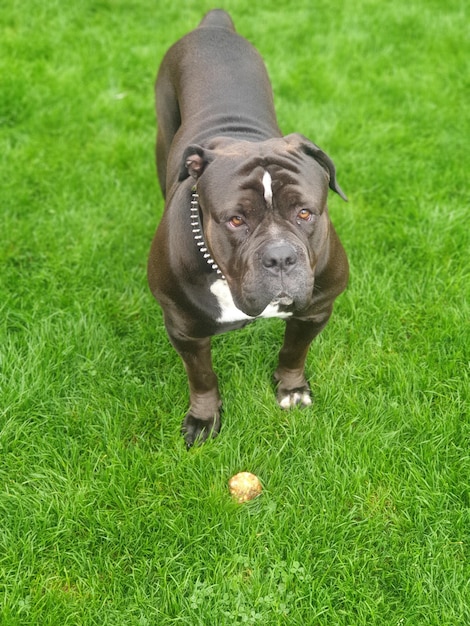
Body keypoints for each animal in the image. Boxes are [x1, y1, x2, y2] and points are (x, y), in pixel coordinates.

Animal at [148, 8, 348, 444]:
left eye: (305, 213)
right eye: (236, 220)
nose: (280, 257)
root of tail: (213, 27)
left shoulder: (316, 310)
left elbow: (294, 351)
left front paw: (291, 389)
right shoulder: (184, 330)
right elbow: (202, 378)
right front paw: (204, 418)